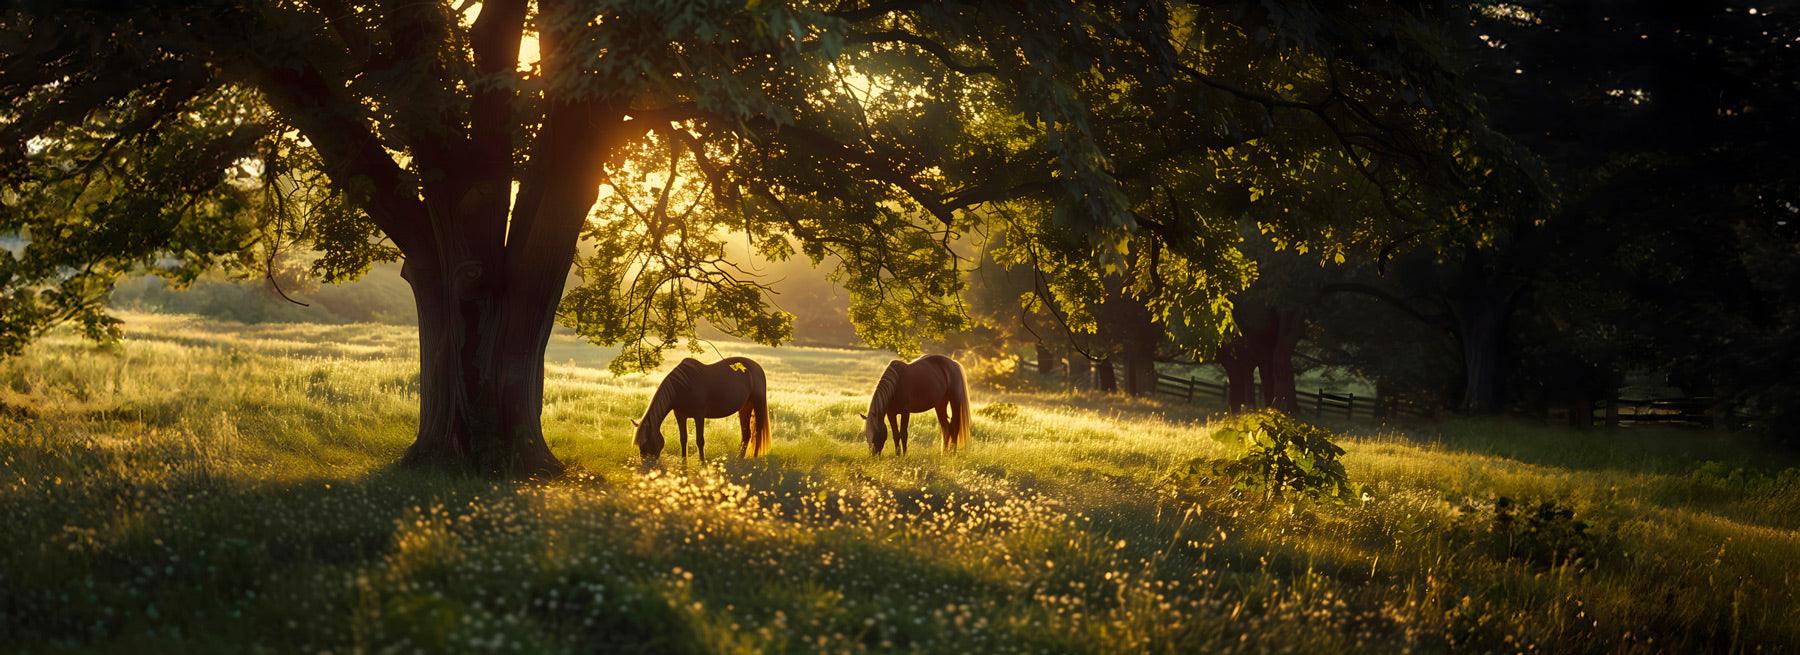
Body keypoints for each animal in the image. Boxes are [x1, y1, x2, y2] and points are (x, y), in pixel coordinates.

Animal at [633, 358, 774, 460]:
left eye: (647, 443)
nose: (647, 466)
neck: (682, 387)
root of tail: (757, 367)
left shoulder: (699, 416)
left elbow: (700, 441)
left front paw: (702, 463)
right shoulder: (680, 416)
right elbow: (683, 439)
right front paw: (684, 463)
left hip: (757, 404)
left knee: (758, 433)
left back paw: (754, 459)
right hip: (745, 407)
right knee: (747, 435)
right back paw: (739, 460)